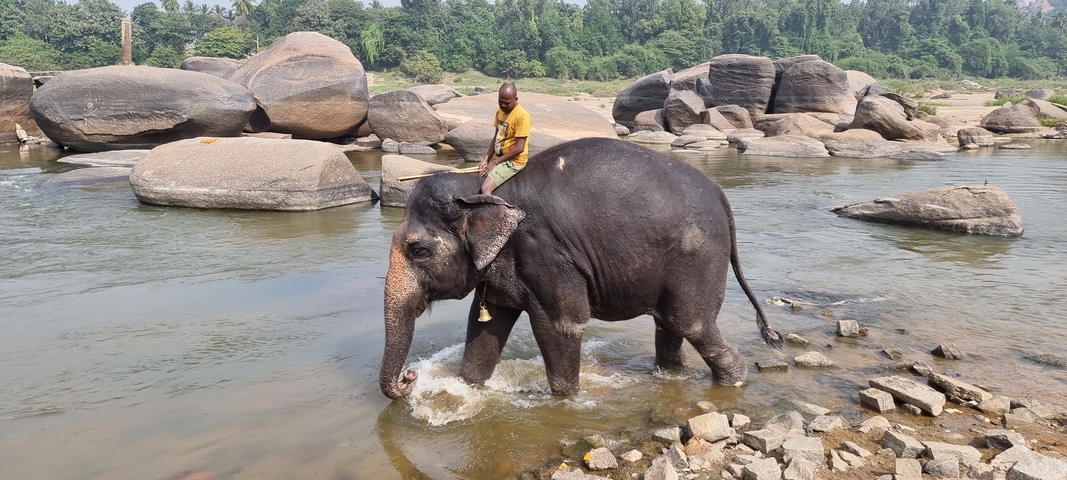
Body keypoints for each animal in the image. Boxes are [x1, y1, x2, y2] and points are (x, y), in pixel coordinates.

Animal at [380, 137, 782, 400]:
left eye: (418, 251)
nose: (410, 376)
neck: (480, 189)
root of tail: (722, 197)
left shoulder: (546, 252)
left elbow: (561, 325)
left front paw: (565, 401)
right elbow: (486, 325)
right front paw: (470, 387)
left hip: (698, 257)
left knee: (692, 323)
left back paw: (734, 381)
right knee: (668, 325)